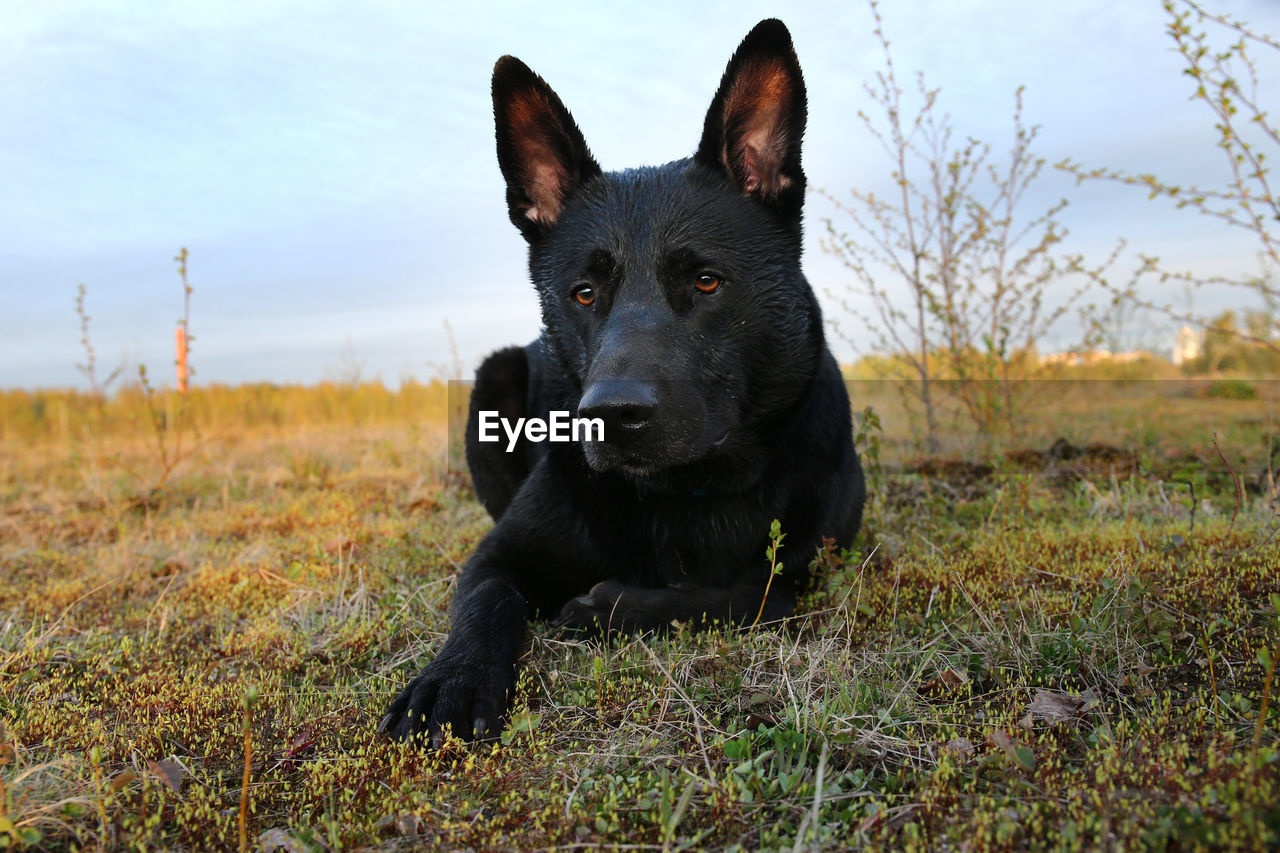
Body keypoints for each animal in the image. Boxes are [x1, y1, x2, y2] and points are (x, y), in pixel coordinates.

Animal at [376, 16, 860, 742]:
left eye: (706, 280)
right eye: (583, 293)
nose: (610, 414)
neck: (684, 492)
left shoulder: (811, 564)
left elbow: (758, 593)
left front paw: (611, 606)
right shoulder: (499, 552)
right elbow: (487, 594)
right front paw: (454, 677)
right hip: (494, 375)